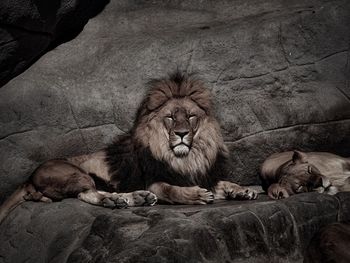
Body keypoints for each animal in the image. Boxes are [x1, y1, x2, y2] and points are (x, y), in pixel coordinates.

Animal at [0, 71, 258, 224]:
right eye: (170, 117)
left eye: (191, 116)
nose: (182, 134)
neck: (185, 158)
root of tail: (29, 177)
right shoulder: (153, 180)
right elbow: (172, 190)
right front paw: (196, 195)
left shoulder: (203, 175)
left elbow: (223, 183)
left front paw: (243, 190)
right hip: (75, 173)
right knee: (88, 193)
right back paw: (120, 201)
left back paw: (137, 198)